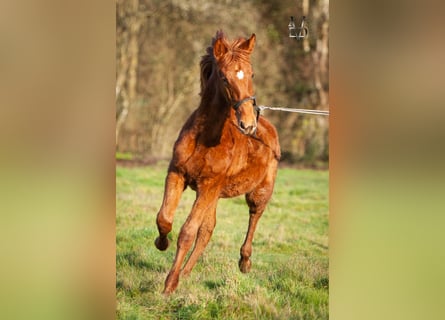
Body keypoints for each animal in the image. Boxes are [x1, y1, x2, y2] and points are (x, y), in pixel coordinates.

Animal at [154, 31, 280, 294]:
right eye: (223, 76)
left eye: (252, 74)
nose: (248, 124)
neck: (205, 138)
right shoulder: (177, 174)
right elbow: (165, 218)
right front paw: (161, 243)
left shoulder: (209, 185)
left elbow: (187, 232)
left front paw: (169, 285)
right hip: (215, 193)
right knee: (208, 230)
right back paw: (186, 273)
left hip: (258, 192)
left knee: (254, 217)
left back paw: (244, 262)